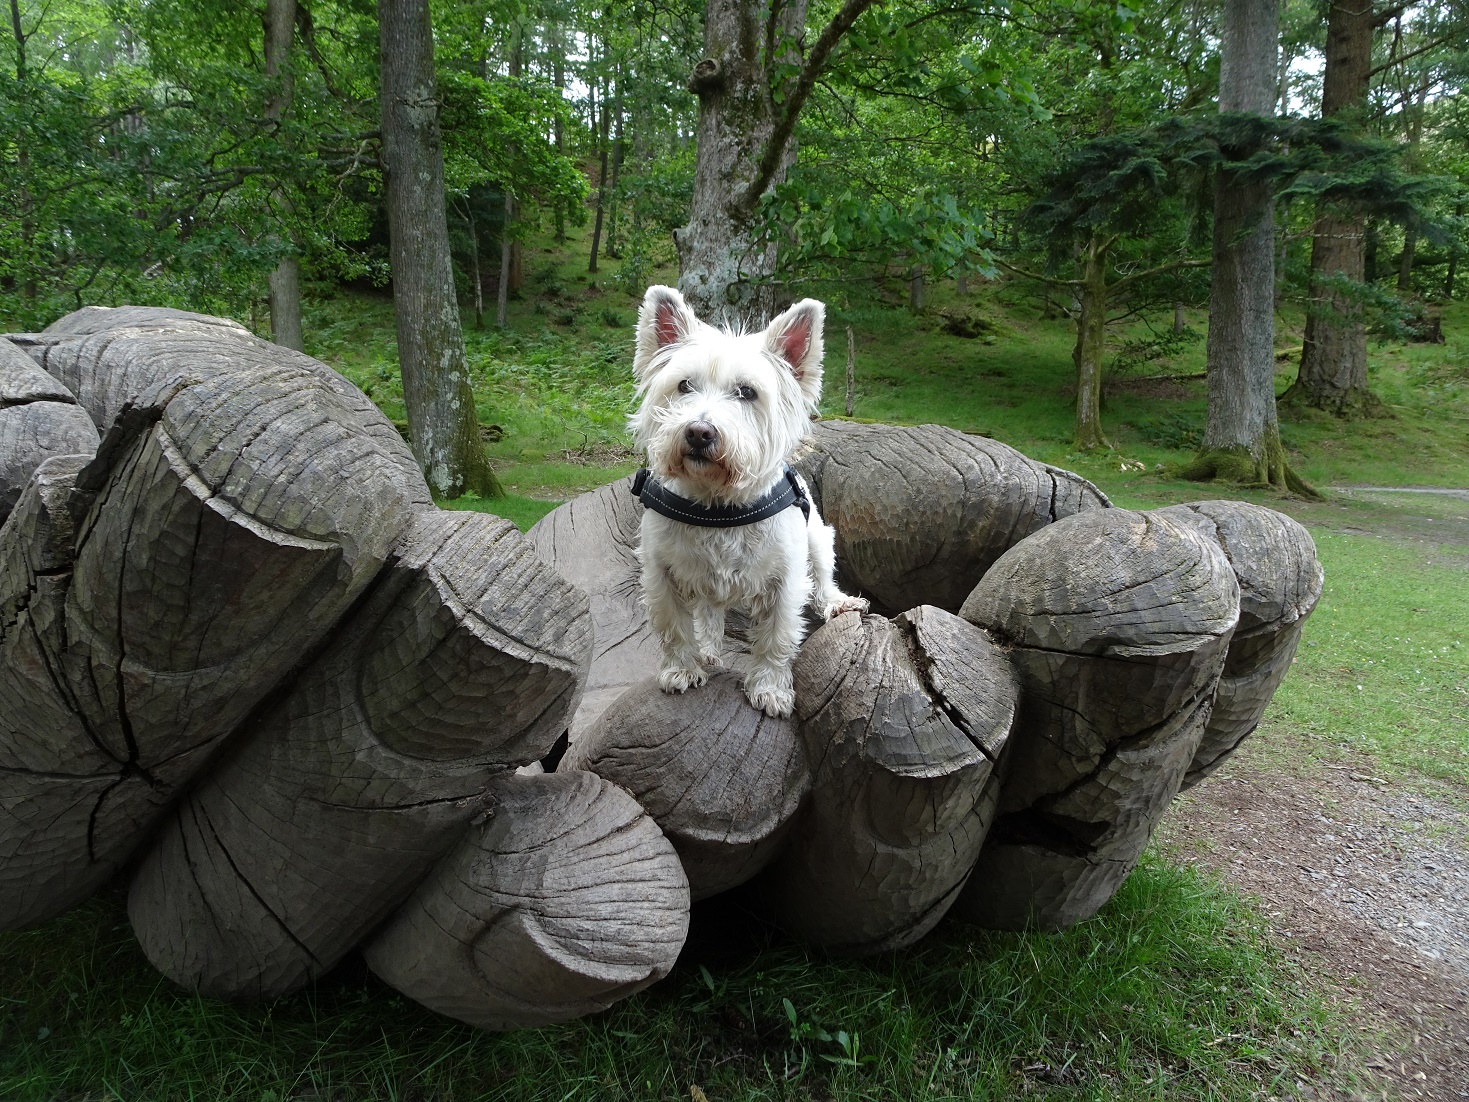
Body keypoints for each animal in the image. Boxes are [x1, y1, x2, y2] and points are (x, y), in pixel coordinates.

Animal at [625, 285, 863, 717]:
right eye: (683, 386)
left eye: (747, 392)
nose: (699, 432)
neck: (718, 507)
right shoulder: (661, 573)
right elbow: (675, 627)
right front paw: (682, 669)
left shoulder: (786, 580)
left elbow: (776, 637)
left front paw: (770, 688)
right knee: (708, 613)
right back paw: (708, 649)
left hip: (818, 538)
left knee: (823, 575)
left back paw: (838, 602)